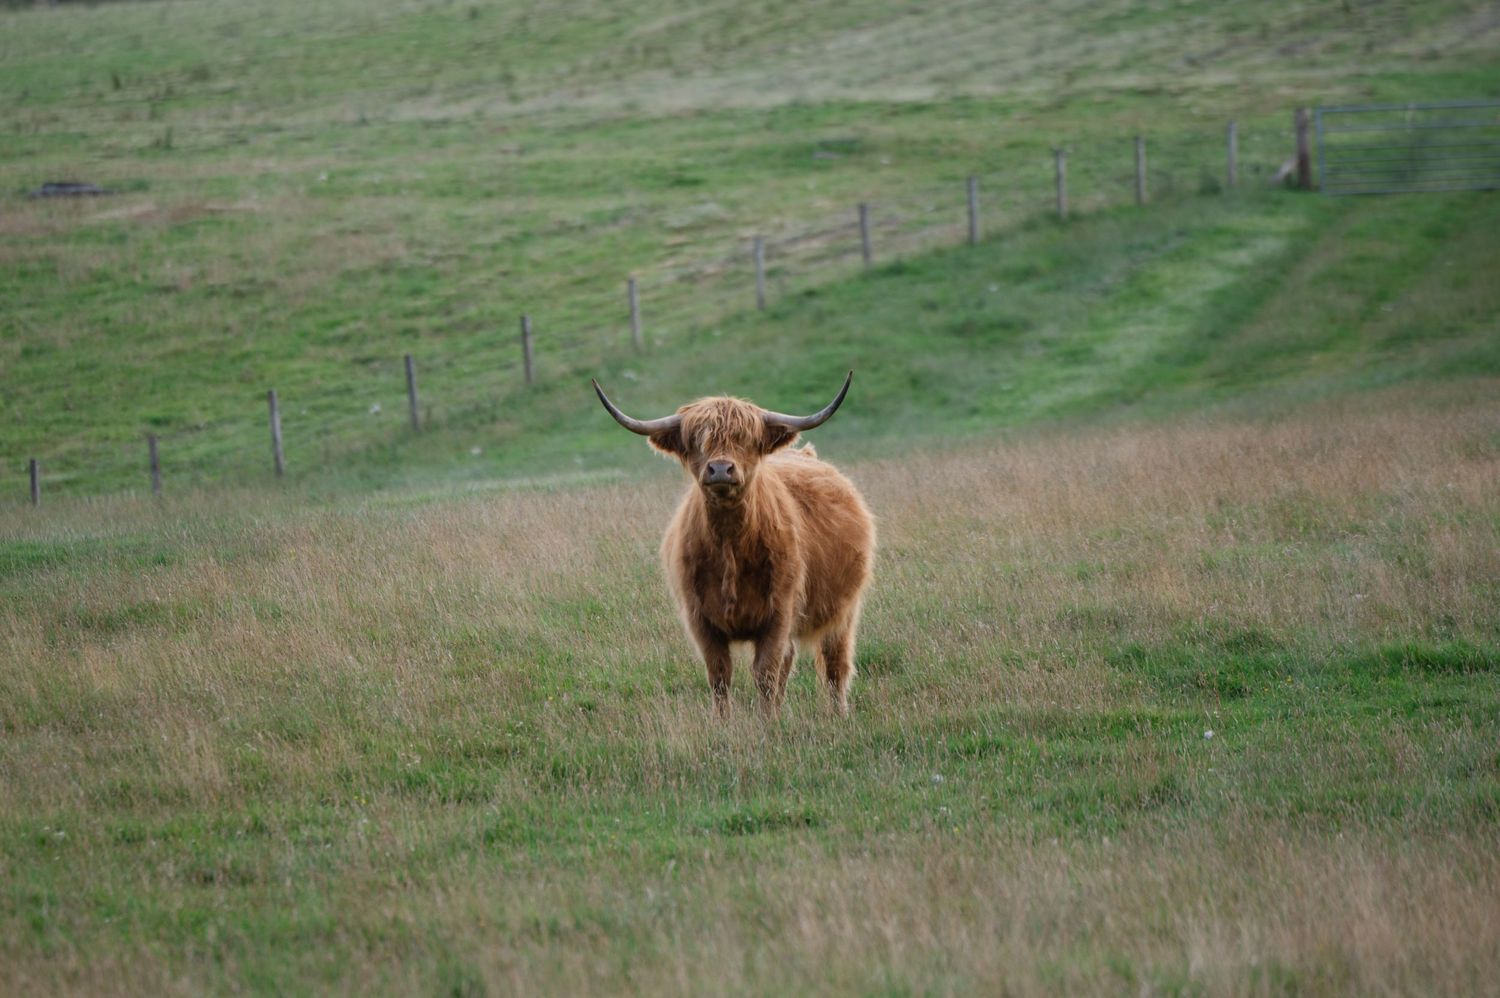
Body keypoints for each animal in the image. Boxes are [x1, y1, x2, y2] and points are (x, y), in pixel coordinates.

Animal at [592, 372, 875, 718]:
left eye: (745, 439)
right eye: (697, 440)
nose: (720, 469)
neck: (729, 546)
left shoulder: (779, 612)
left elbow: (765, 673)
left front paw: (768, 724)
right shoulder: (700, 619)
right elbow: (720, 675)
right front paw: (724, 724)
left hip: (844, 611)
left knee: (835, 664)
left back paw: (837, 714)